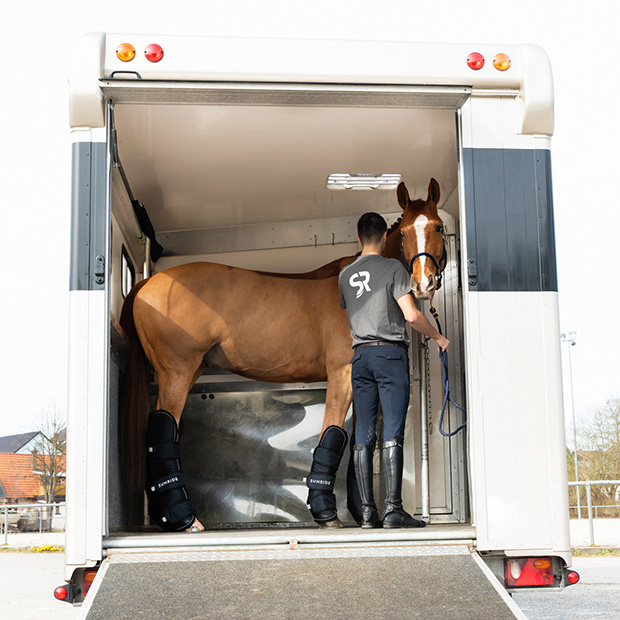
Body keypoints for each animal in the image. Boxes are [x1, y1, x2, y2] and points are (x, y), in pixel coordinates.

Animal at [118, 178, 444, 528]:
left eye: (438, 226)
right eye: (405, 232)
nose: (423, 283)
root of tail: (150, 282)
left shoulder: (359, 382)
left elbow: (361, 439)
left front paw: (361, 513)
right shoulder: (341, 374)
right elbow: (332, 432)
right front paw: (326, 514)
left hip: (189, 372)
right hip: (177, 372)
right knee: (162, 429)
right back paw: (186, 520)